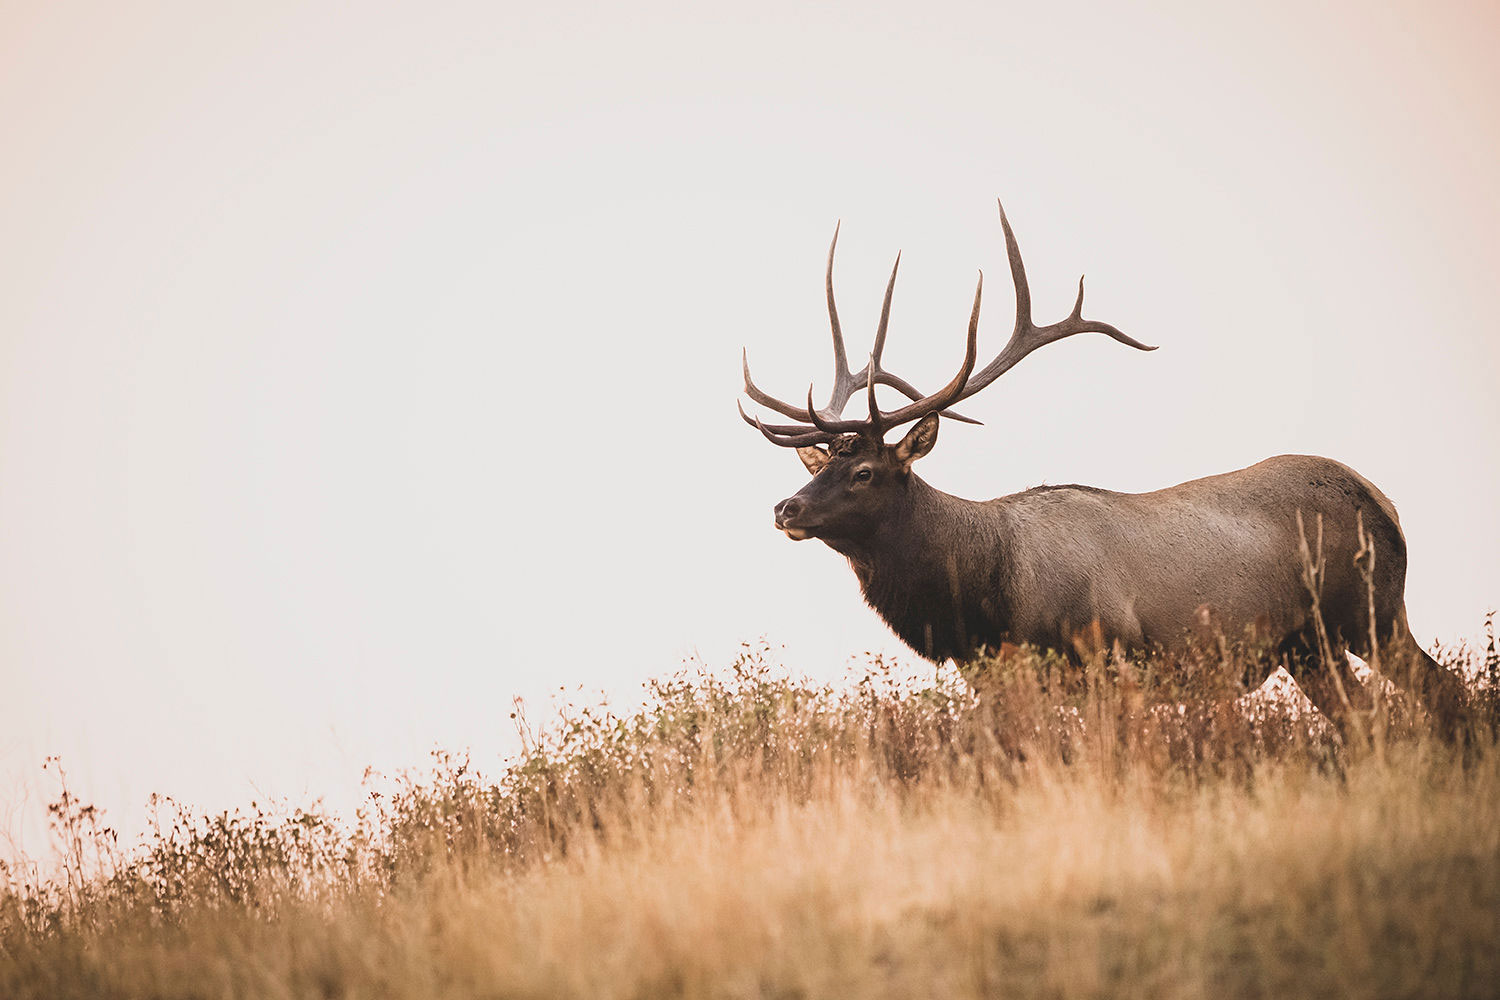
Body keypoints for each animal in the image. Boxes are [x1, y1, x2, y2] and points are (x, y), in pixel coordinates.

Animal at [739, 200, 1468, 741]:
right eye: (822, 465)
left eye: (864, 472)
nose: (785, 508)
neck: (983, 597)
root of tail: (1382, 500)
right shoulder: (998, 682)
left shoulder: (1108, 658)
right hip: (1308, 644)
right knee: (1366, 716)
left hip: (1372, 610)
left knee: (1445, 688)